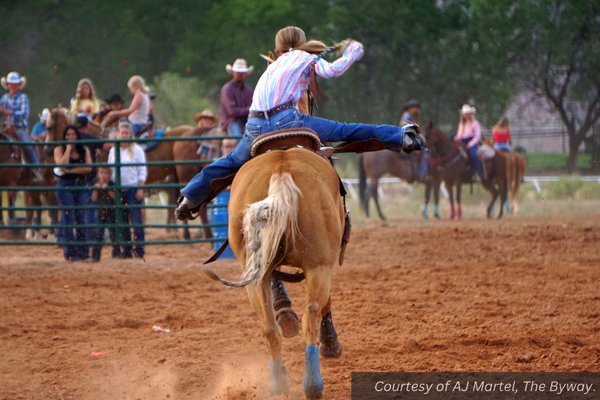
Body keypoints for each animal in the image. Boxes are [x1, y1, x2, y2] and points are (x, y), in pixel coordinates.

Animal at [206, 145, 344, 400]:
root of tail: (281, 170)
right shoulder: (324, 266)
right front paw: (331, 344)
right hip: (319, 266)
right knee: (311, 314)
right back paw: (313, 383)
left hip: (255, 278)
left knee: (270, 328)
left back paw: (279, 383)